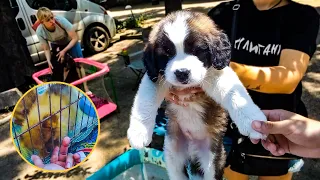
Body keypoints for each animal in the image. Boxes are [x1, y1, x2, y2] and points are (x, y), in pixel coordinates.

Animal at [126, 10, 266, 180]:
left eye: (196, 50)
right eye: (167, 53)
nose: (182, 73)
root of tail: (192, 150)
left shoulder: (216, 74)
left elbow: (234, 94)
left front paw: (253, 122)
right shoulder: (155, 77)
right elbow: (144, 102)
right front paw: (138, 132)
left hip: (213, 159)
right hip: (172, 152)